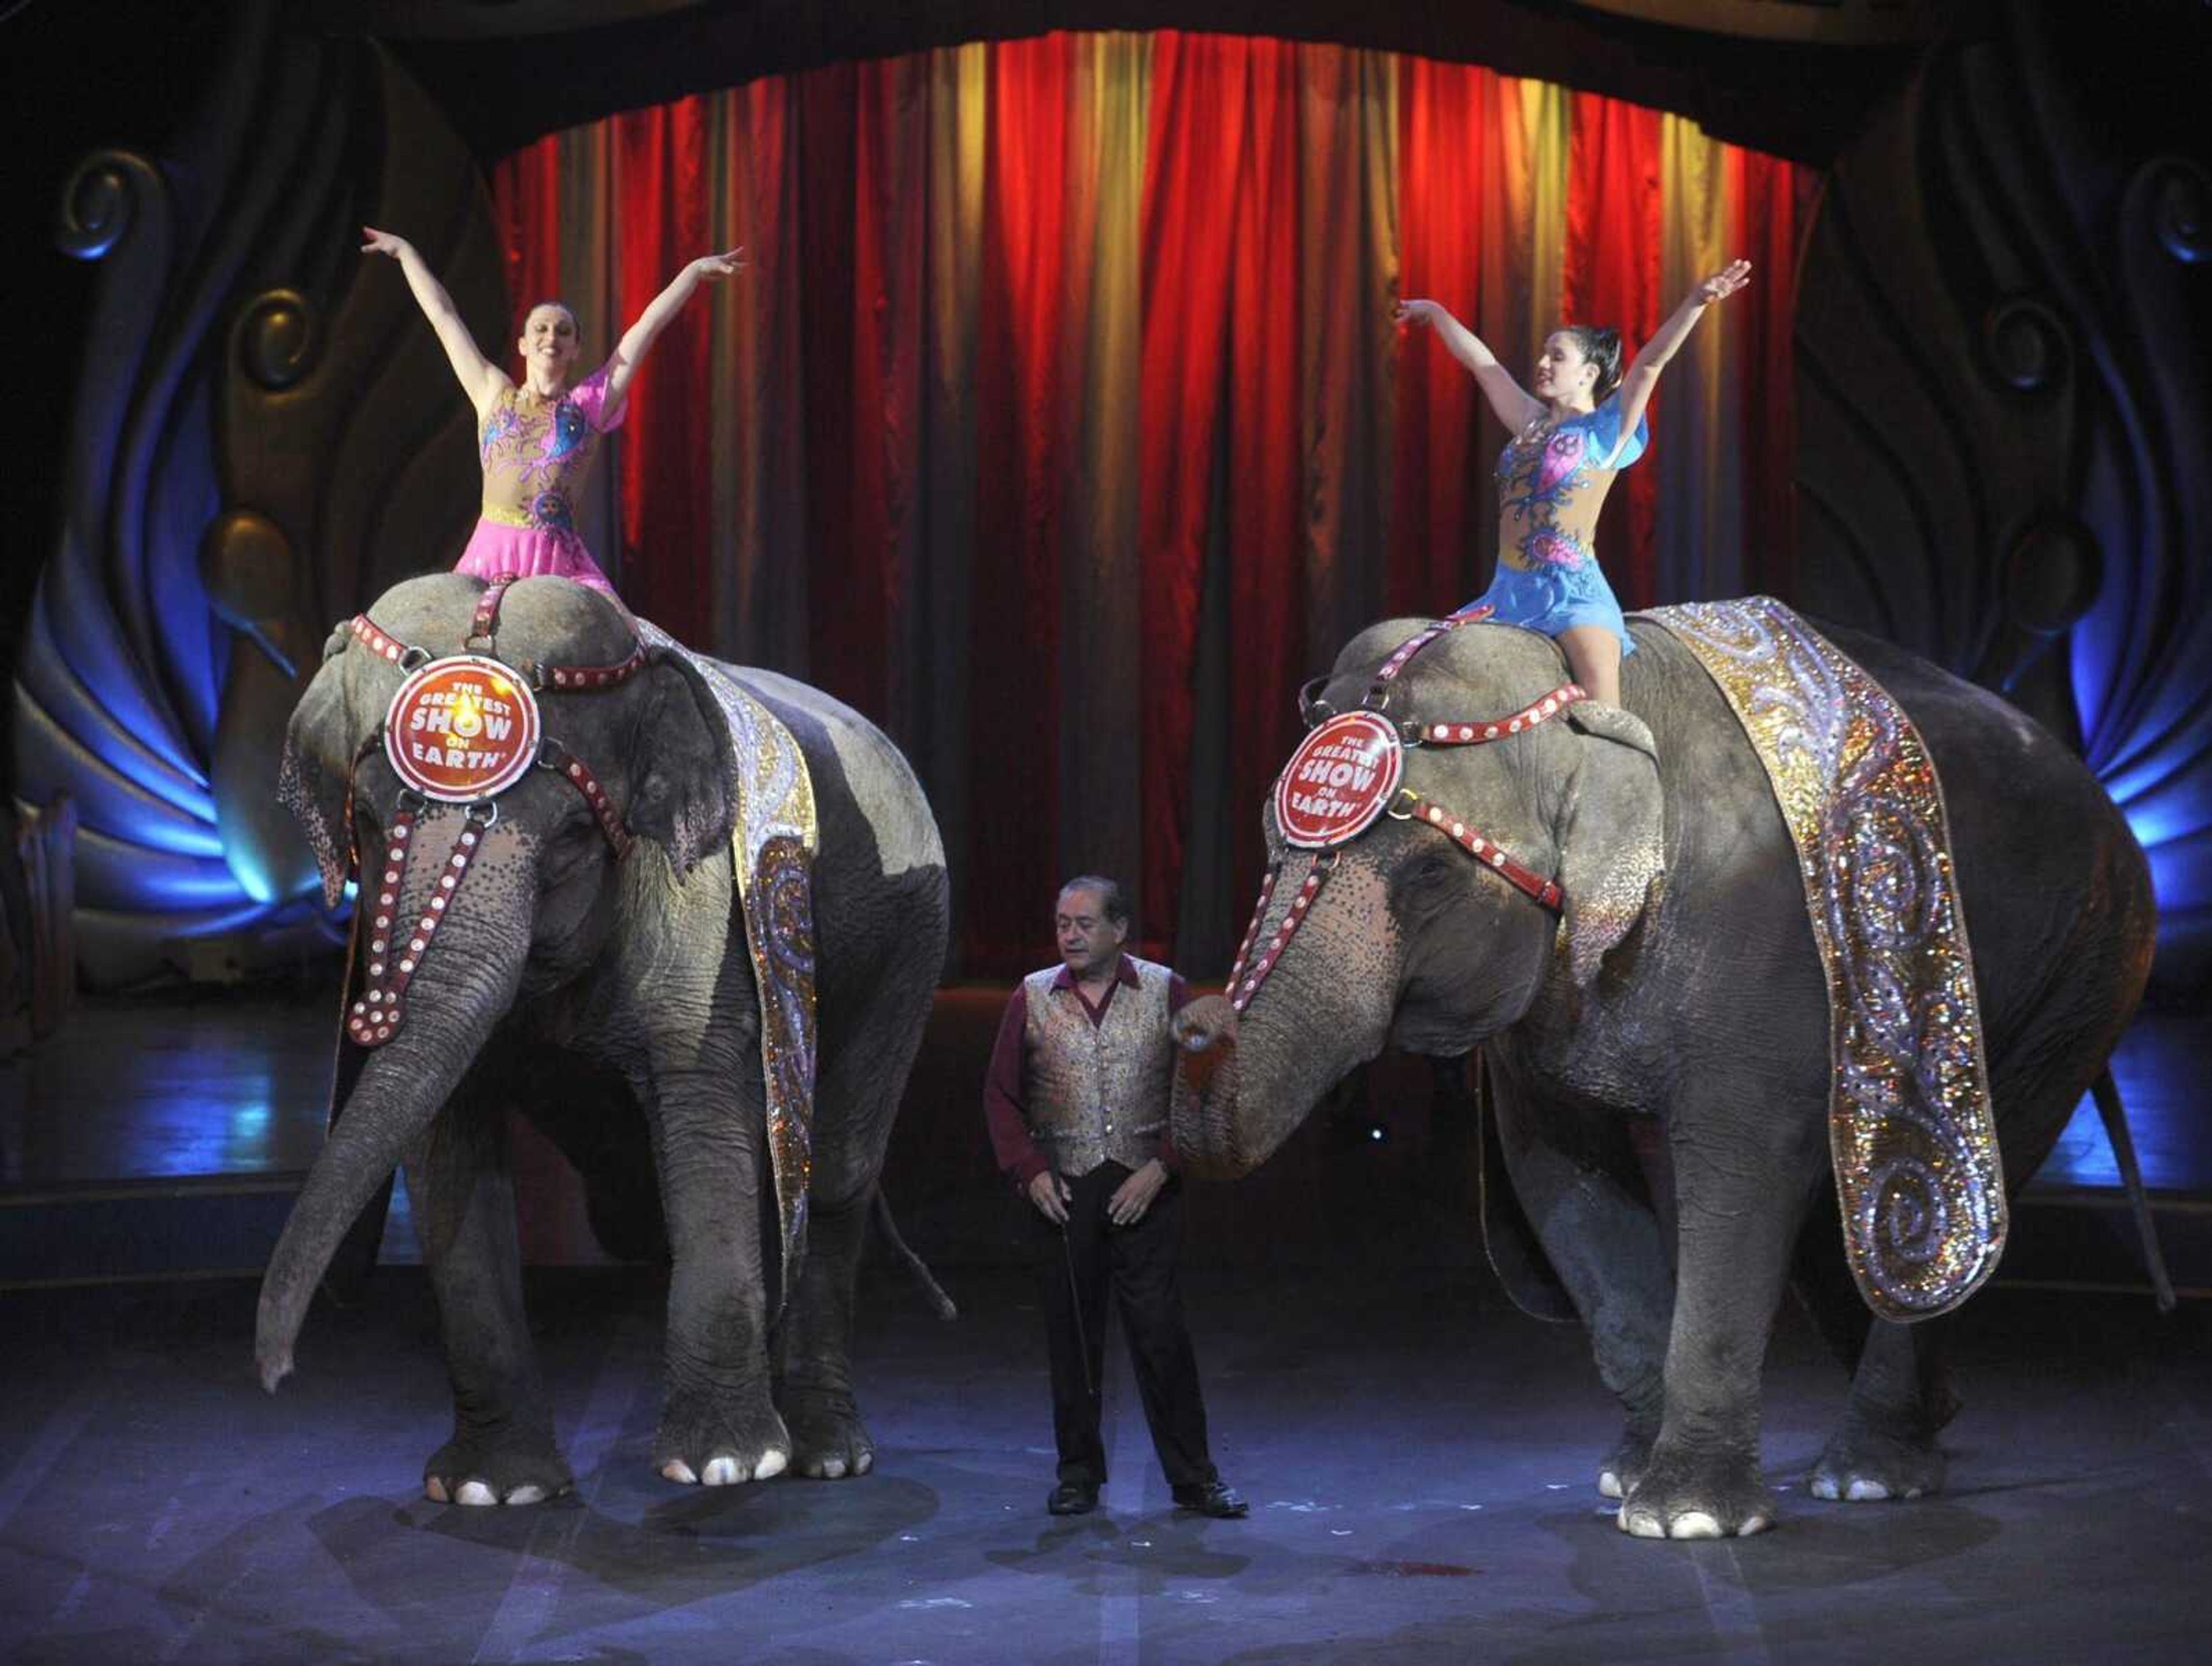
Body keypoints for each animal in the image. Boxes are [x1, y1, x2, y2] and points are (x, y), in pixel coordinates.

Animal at [259, 566, 951, 1504]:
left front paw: (725, 1466)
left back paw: (823, 1455)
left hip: (911, 942)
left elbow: (703, 1116)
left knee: (837, 1168)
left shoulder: (704, 903)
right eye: (368, 819)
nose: (277, 1375)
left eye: (571, 838)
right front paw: (492, 1491)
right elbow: (449, 1147)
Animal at [1176, 593, 2158, 1531]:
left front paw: (1685, 1517)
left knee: (1942, 1208)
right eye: (1269, 842)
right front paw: (1626, 1477)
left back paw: (1873, 1476)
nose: (1189, 1019)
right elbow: (1561, 1174)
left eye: (1428, 875)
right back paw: (1930, 1421)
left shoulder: (1762, 940)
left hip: (2083, 973)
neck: (1587, 697)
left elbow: (1739, 1169)